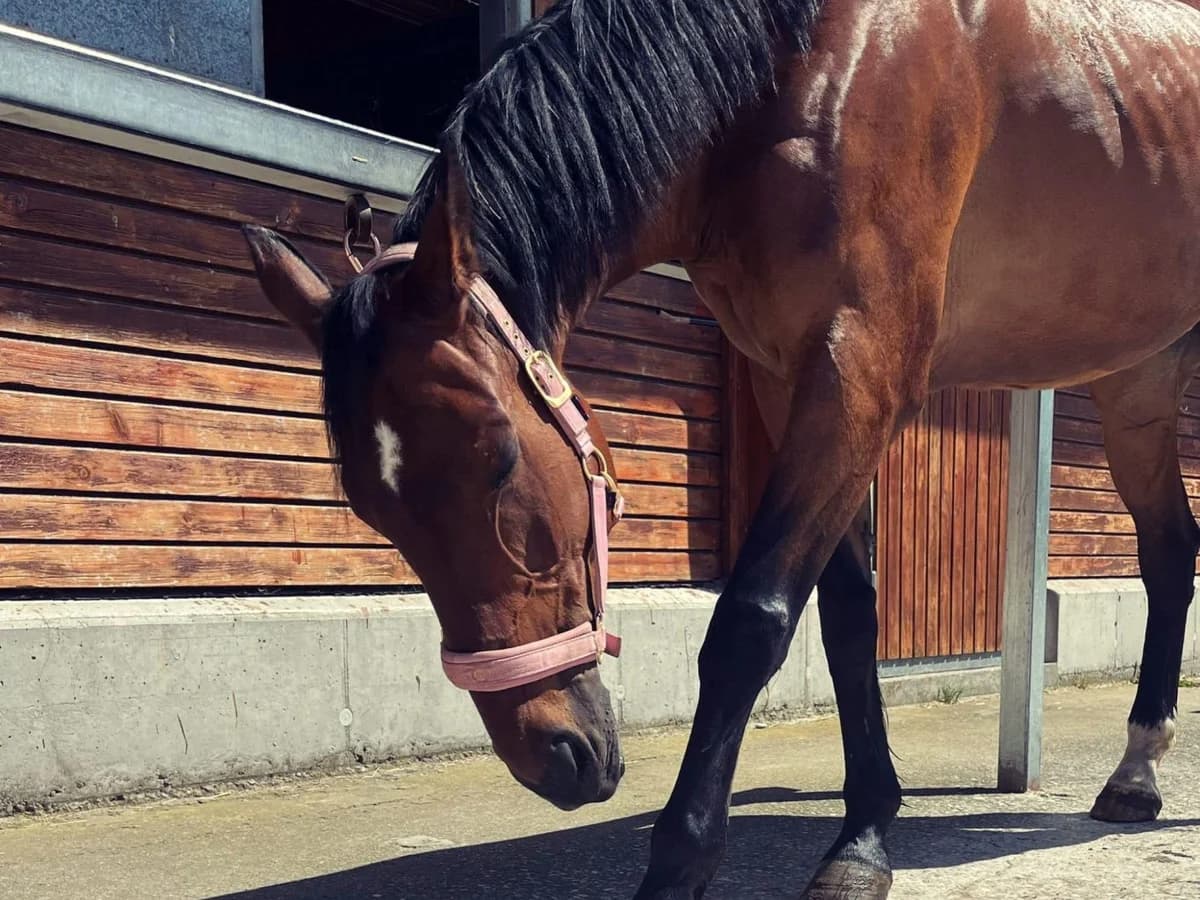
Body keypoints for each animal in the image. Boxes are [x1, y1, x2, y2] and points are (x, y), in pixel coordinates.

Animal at [242, 0, 1200, 896]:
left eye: (500, 462)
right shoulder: (790, 376)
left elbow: (751, 621)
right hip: (1139, 388)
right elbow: (847, 613)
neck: (807, 63)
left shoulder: (863, 371)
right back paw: (1135, 773)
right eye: (372, 507)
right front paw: (865, 832)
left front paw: (682, 862)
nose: (556, 756)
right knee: (1169, 551)